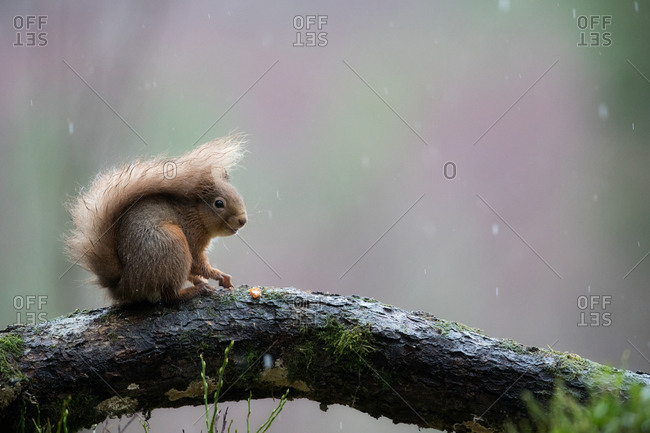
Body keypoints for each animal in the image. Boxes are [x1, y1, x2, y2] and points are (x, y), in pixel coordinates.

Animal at [65, 135, 248, 304]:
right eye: (219, 203)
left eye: (238, 194)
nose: (243, 220)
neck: (196, 215)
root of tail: (124, 285)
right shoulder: (191, 237)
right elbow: (197, 263)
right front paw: (218, 275)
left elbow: (192, 272)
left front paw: (204, 280)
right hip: (173, 246)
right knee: (170, 296)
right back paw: (195, 291)